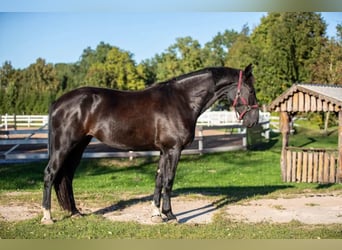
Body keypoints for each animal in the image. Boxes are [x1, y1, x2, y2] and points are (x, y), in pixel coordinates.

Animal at [41, 63, 258, 224]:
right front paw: (170, 215)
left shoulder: (163, 150)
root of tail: (58, 102)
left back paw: (75, 212)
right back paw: (47, 217)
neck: (182, 100)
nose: (254, 120)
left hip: (78, 147)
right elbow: (169, 181)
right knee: (50, 174)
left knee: (67, 176)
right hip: (64, 146)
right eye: (251, 90)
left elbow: (159, 180)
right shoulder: (173, 150)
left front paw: (156, 215)